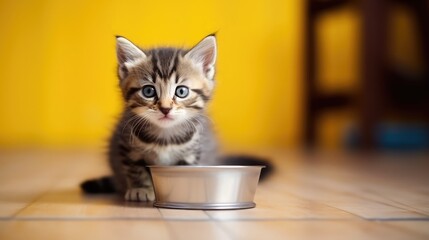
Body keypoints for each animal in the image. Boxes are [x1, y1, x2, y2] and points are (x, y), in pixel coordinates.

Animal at [83, 34, 270, 202]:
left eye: (181, 91)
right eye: (148, 91)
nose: (165, 108)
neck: (165, 137)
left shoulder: (192, 153)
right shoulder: (127, 146)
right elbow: (136, 169)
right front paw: (140, 189)